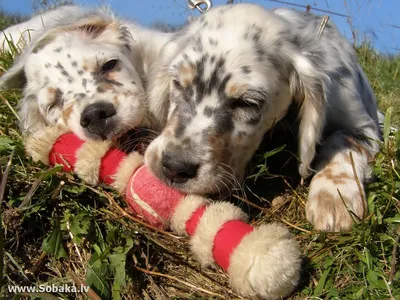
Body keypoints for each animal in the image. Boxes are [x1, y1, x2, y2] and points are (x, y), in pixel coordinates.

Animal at [146, 4, 382, 232]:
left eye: (247, 102)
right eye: (177, 83)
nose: (175, 168)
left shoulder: (366, 127)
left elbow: (343, 142)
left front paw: (334, 196)